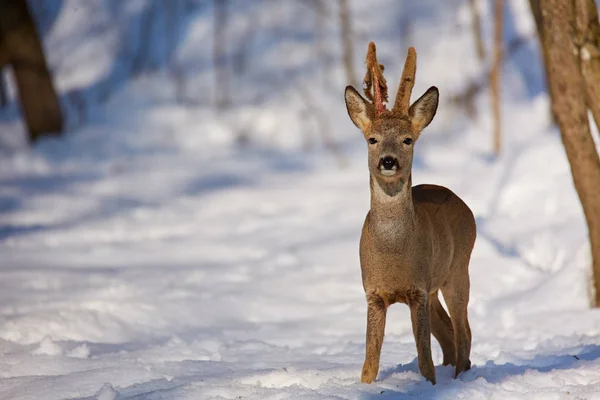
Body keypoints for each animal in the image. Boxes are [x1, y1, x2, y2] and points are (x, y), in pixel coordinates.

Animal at [344, 43, 476, 384]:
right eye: (372, 139)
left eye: (407, 139)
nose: (388, 161)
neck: (393, 251)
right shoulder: (374, 292)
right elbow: (370, 361)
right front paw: (366, 386)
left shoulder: (417, 288)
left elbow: (424, 358)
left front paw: (429, 384)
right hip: (435, 286)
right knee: (449, 333)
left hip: (458, 269)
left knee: (463, 330)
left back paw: (459, 378)